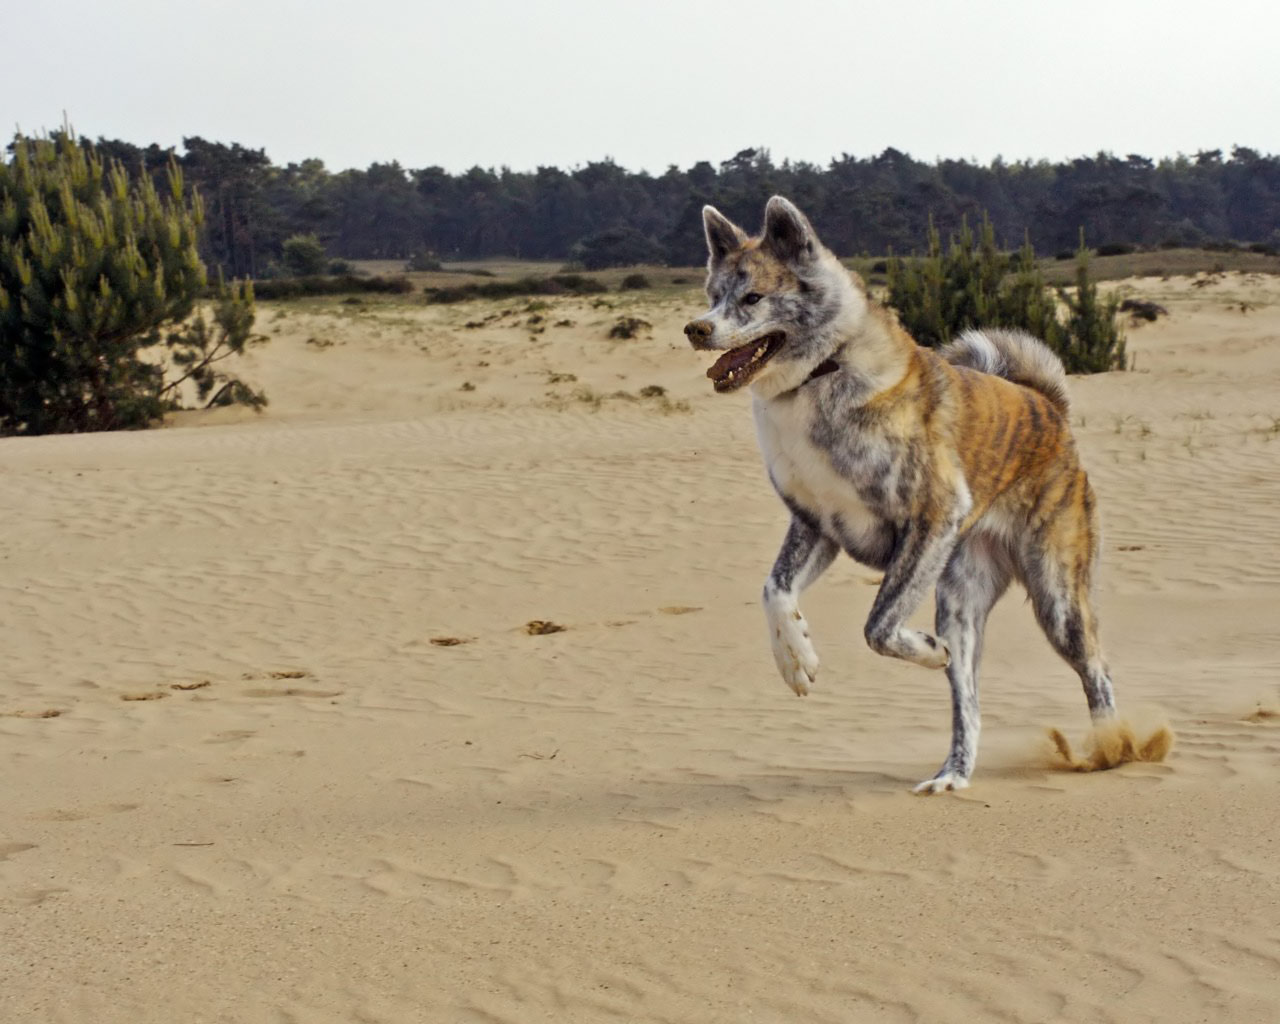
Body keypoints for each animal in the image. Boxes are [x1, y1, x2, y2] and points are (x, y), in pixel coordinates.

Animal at [686, 198, 1116, 793]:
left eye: (752, 298)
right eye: (712, 295)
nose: (695, 329)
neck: (822, 373)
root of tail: (1048, 407)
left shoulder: (932, 517)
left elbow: (878, 625)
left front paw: (920, 651)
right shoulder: (817, 525)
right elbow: (774, 590)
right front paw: (795, 659)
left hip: (1056, 597)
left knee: (1097, 671)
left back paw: (1111, 745)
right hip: (960, 601)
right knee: (968, 703)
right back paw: (952, 774)